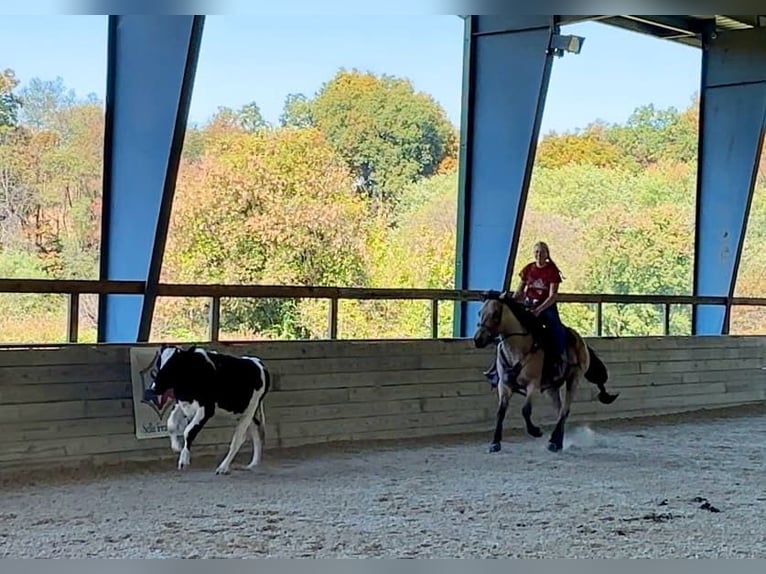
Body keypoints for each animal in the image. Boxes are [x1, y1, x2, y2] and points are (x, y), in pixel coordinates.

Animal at [142, 346, 272, 476]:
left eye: (173, 364)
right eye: (159, 363)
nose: (153, 388)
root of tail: (257, 362)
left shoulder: (206, 409)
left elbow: (188, 431)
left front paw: (183, 460)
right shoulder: (180, 403)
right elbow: (171, 425)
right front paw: (176, 447)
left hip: (250, 410)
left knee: (238, 439)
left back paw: (223, 467)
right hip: (245, 412)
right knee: (255, 428)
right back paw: (253, 463)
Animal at [474, 292, 616, 454]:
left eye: (496, 313)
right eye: (479, 313)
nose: (478, 340)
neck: (519, 348)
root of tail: (581, 342)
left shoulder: (533, 386)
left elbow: (525, 410)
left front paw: (536, 431)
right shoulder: (504, 385)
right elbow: (500, 412)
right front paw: (495, 443)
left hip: (574, 379)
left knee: (565, 410)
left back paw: (554, 442)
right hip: (552, 389)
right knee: (560, 410)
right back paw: (557, 442)